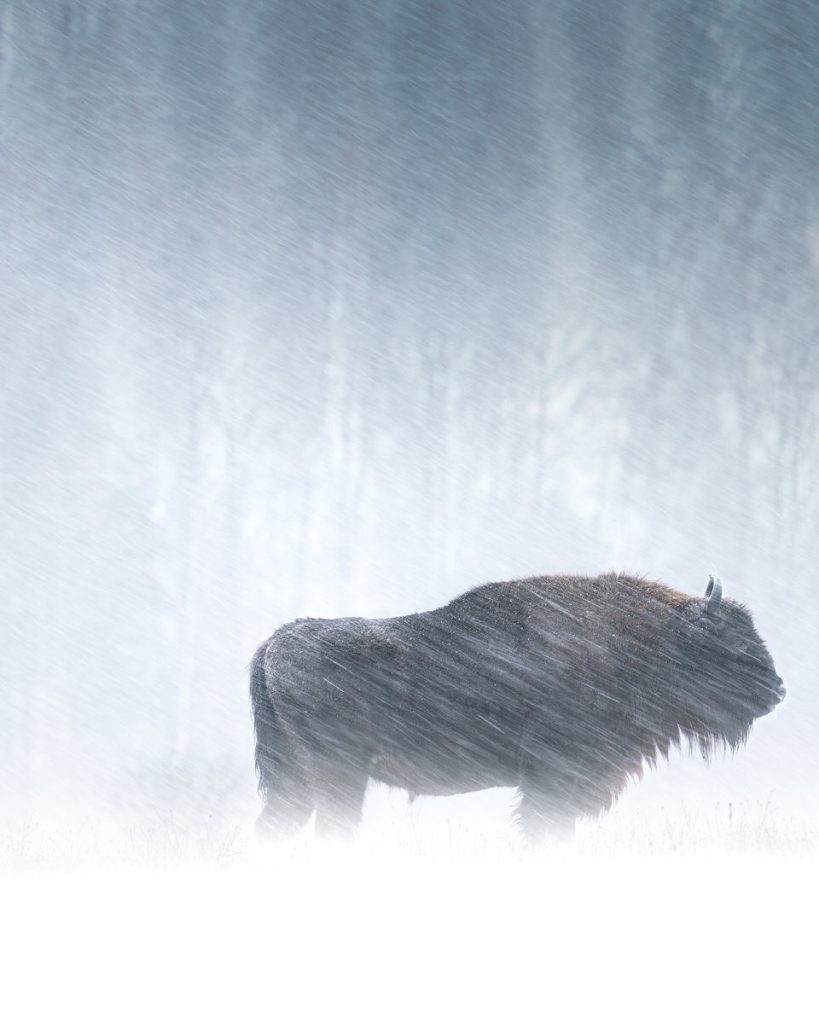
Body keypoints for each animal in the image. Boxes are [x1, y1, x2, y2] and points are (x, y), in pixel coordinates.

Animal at [250, 573, 784, 841]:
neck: (652, 639)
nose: (778, 690)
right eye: (732, 641)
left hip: (293, 779)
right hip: (339, 775)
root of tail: (276, 642)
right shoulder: (554, 780)